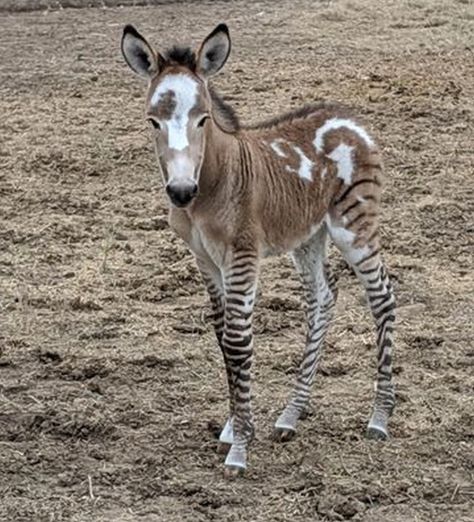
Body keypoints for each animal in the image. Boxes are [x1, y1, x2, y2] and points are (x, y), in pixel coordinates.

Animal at [122, 25, 396, 476]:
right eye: (152, 121)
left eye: (203, 118)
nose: (180, 191)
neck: (212, 185)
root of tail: (352, 120)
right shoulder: (205, 259)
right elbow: (222, 337)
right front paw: (234, 426)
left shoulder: (242, 255)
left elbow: (238, 340)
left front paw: (239, 447)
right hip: (308, 235)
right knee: (323, 297)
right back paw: (290, 415)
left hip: (354, 226)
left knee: (383, 297)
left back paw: (379, 417)